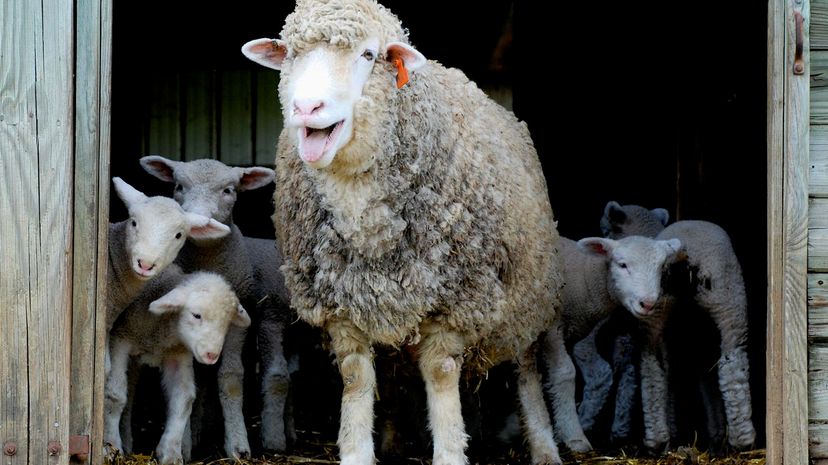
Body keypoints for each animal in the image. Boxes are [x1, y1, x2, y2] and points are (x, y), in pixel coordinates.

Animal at [104, 271, 251, 465]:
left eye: (226, 322)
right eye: (196, 315)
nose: (211, 355)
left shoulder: (178, 353)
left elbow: (183, 398)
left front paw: (171, 453)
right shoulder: (120, 339)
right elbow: (115, 395)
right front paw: (111, 446)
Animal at [139, 155, 295, 455]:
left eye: (228, 190)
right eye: (178, 186)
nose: (199, 220)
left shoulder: (239, 318)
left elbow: (231, 378)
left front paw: (238, 446)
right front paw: (184, 445)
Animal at [241, 1, 565, 463]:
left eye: (368, 55)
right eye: (290, 54)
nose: (307, 107)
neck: (364, 218)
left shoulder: (457, 299)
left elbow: (442, 373)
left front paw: (450, 453)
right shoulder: (341, 304)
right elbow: (356, 377)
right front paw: (356, 452)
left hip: (526, 299)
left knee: (526, 373)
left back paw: (544, 446)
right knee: (393, 375)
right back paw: (393, 441)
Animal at [542, 235, 684, 453]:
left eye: (661, 268)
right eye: (622, 265)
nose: (648, 304)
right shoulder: (552, 327)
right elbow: (565, 373)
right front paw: (574, 437)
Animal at [598, 201, 756, 451]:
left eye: (606, 231)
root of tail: (686, 256)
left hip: (661, 313)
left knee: (652, 370)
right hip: (725, 302)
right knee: (730, 366)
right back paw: (736, 440)